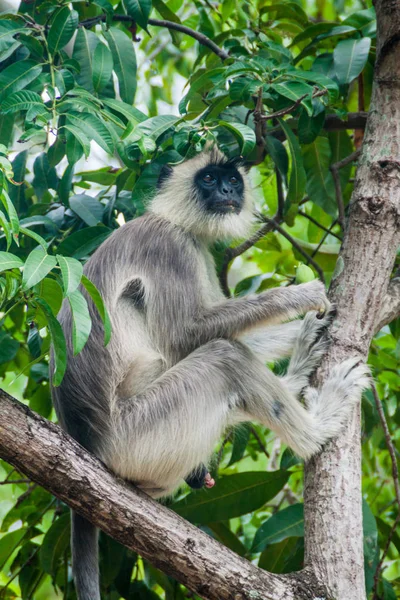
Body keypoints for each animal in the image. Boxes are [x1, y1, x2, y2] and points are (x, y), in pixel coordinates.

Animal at [51, 146, 370, 600]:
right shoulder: (168, 247)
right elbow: (187, 335)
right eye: (208, 179)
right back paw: (318, 427)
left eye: (232, 180)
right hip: (137, 437)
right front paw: (299, 297)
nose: (226, 192)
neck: (176, 221)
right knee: (224, 357)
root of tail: (89, 443)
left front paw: (305, 336)